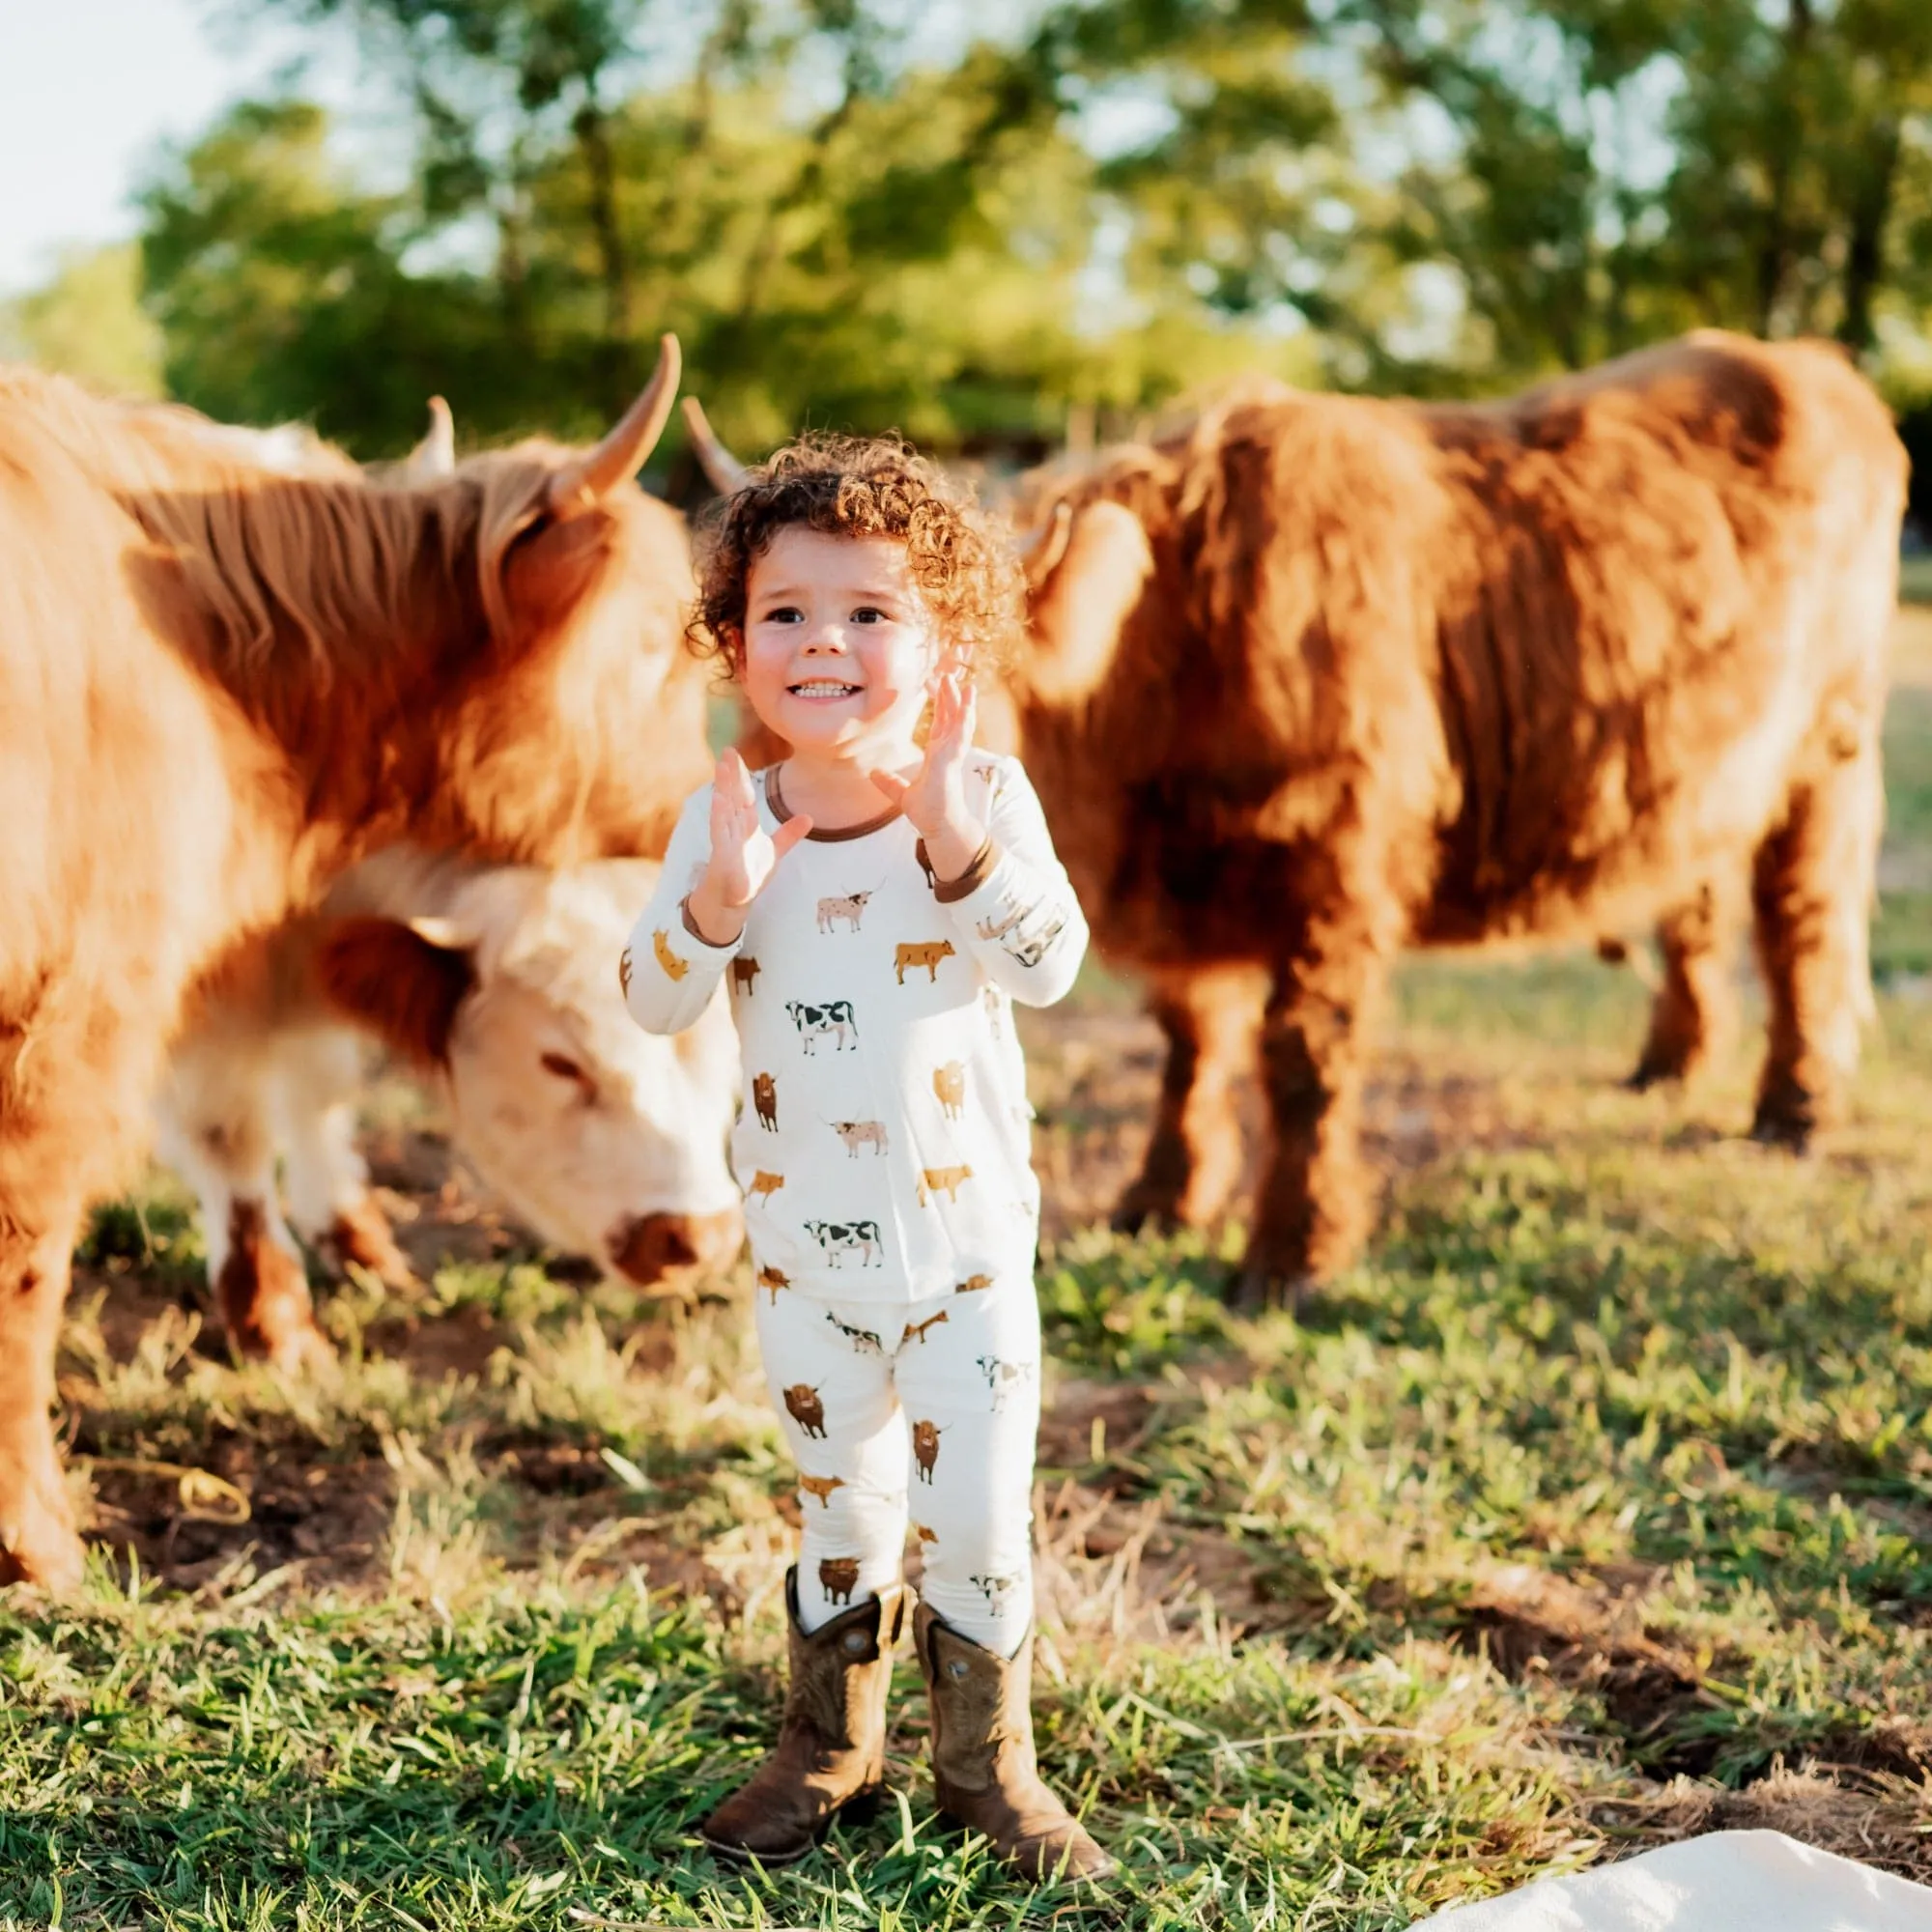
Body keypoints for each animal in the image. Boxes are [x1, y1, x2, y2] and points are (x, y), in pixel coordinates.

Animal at [155, 850, 742, 1345]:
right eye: (560, 1063)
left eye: (731, 1037)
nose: (701, 1237)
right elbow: (226, 1128)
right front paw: (273, 1316)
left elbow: (319, 1080)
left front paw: (350, 1237)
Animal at [997, 332, 1901, 1306]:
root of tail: (1799, 359)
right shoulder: (1191, 899)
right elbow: (1190, 1051)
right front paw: (1159, 1201)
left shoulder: (1336, 865)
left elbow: (1303, 1062)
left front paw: (1290, 1255)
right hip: (1698, 765)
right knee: (1694, 903)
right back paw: (1669, 1068)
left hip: (1829, 746)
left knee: (1803, 926)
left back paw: (1793, 1113)